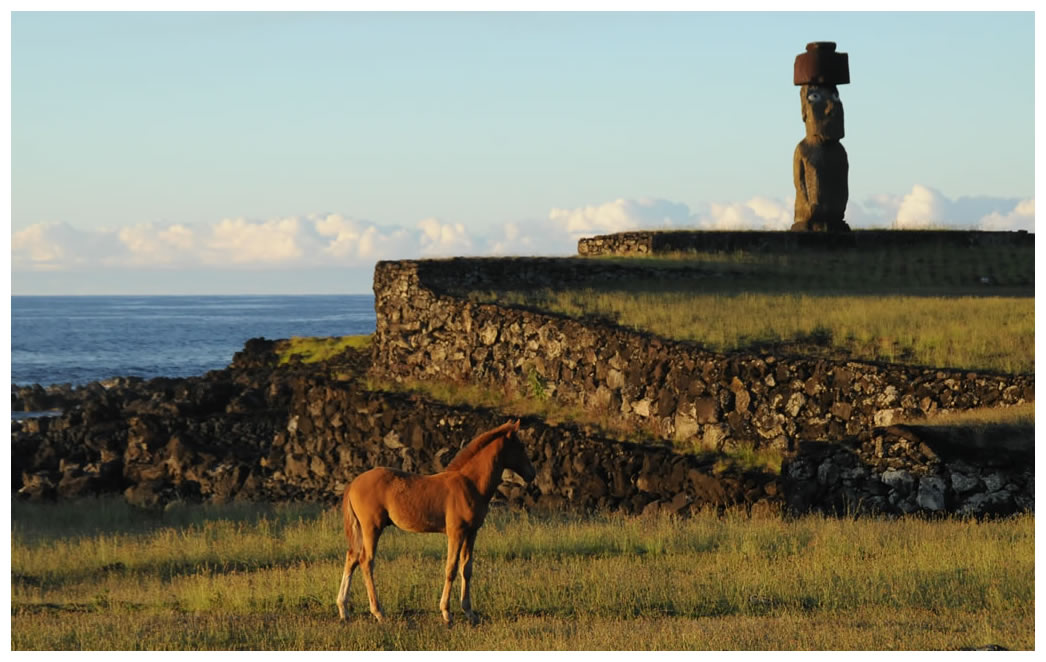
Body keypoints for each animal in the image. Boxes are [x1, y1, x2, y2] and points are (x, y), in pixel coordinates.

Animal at [336, 420, 535, 623]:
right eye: (520, 446)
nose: (532, 474)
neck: (470, 484)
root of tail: (353, 484)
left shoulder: (472, 532)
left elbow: (467, 569)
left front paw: (470, 612)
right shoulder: (456, 532)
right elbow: (451, 569)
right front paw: (446, 613)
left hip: (361, 529)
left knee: (352, 557)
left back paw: (344, 609)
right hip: (372, 528)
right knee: (366, 561)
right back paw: (378, 612)